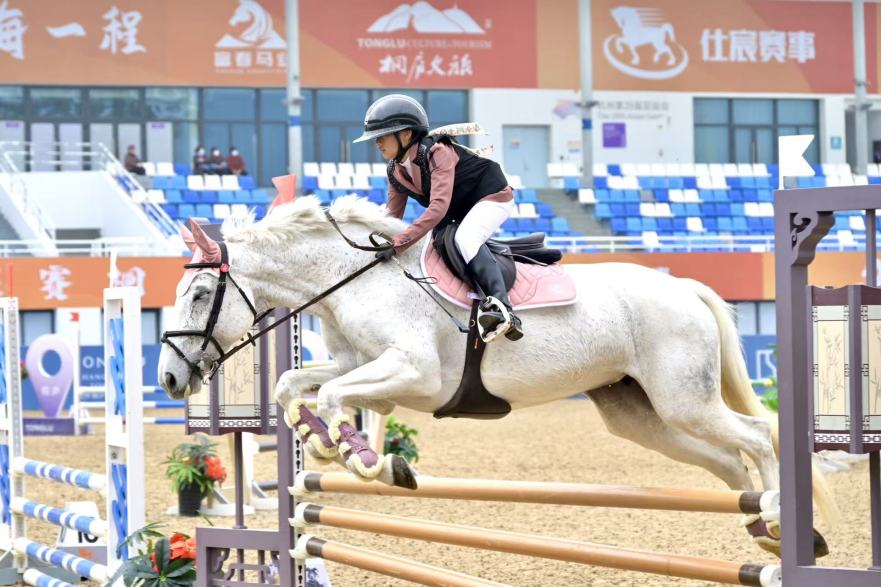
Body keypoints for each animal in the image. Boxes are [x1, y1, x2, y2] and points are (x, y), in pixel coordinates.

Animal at [158, 195, 835, 557]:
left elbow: (330, 394)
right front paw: (326, 449)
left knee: (757, 436)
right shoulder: (359, 364)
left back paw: (783, 521)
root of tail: (684, 286)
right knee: (725, 463)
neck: (355, 278)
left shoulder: (413, 373)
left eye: (199, 295)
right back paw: (765, 533)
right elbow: (294, 387)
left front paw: (366, 461)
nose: (167, 379)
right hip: (641, 415)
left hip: (683, 399)